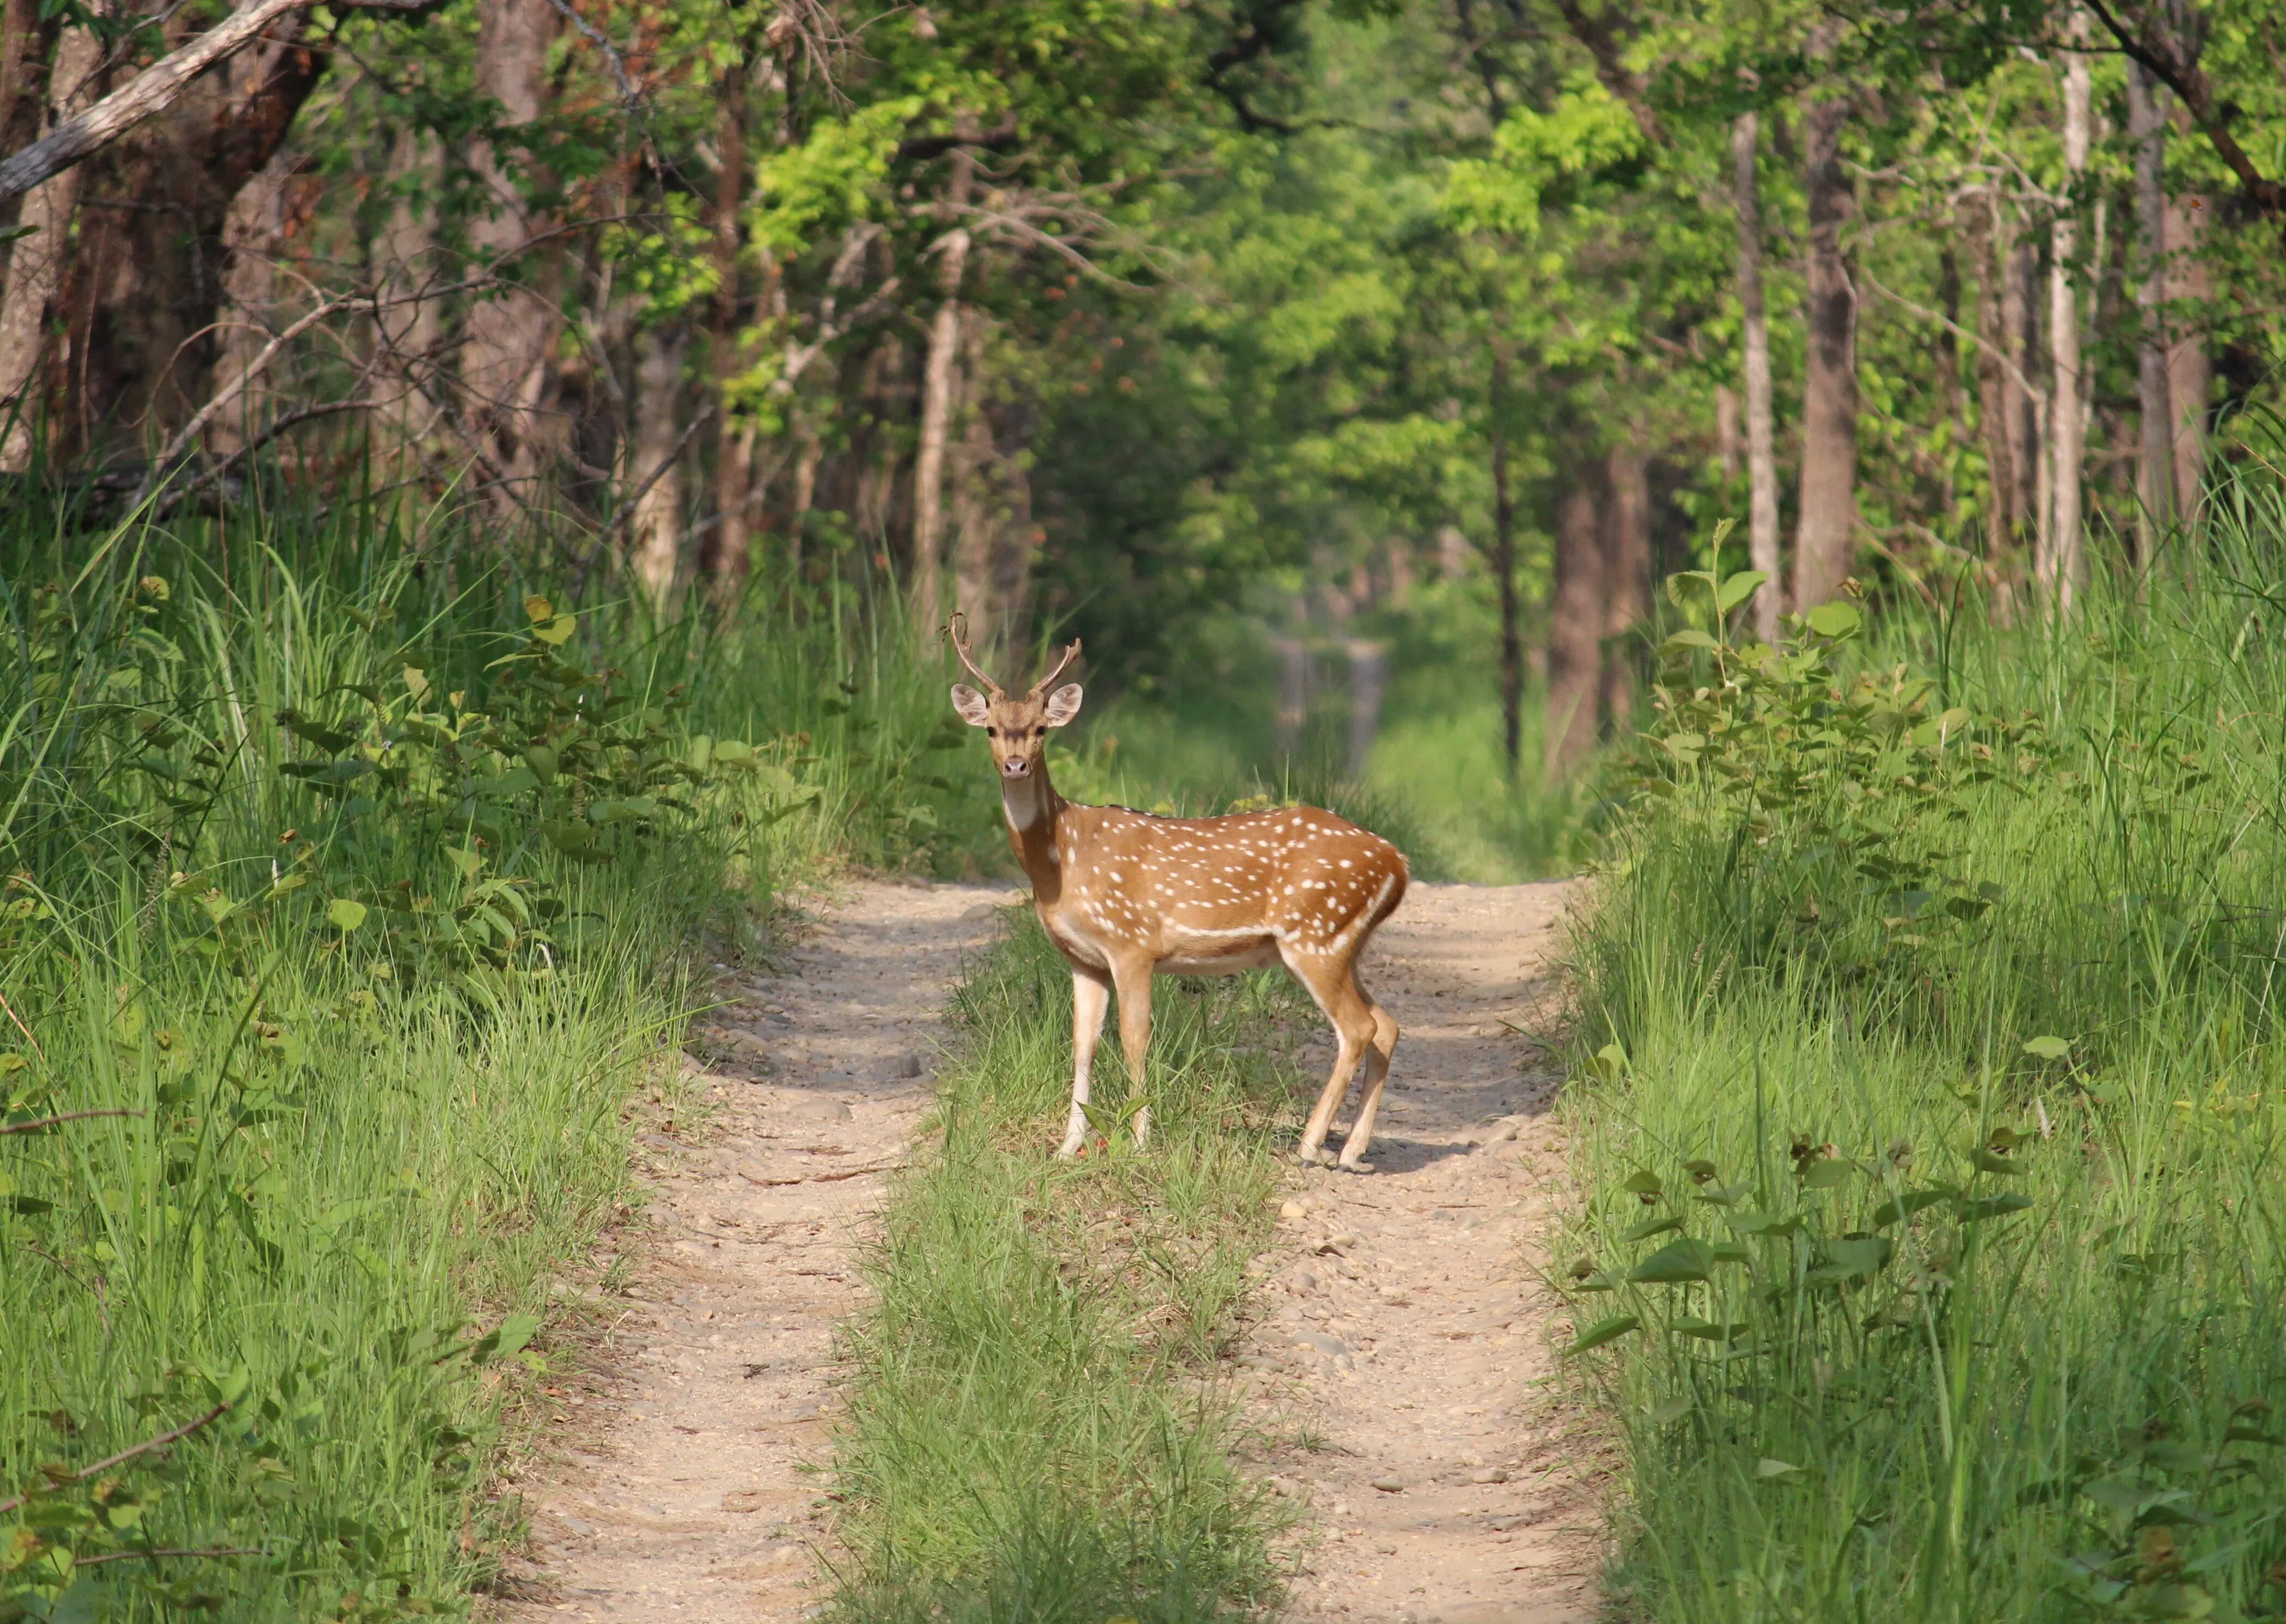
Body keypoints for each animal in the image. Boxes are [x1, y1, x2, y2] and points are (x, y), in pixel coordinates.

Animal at [946, 616, 1408, 1170]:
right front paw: (1066, 1148)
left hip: (1317, 934)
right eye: (991, 729)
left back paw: (1310, 1144)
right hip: (1343, 941)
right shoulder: (1083, 959)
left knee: (1358, 1029)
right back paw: (1352, 1151)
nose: (1015, 764)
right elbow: (1082, 1044)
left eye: (1041, 729)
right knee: (1387, 1024)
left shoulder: (1131, 942)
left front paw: (1139, 1140)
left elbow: (1135, 1040)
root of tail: (1397, 862)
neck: (1062, 857)